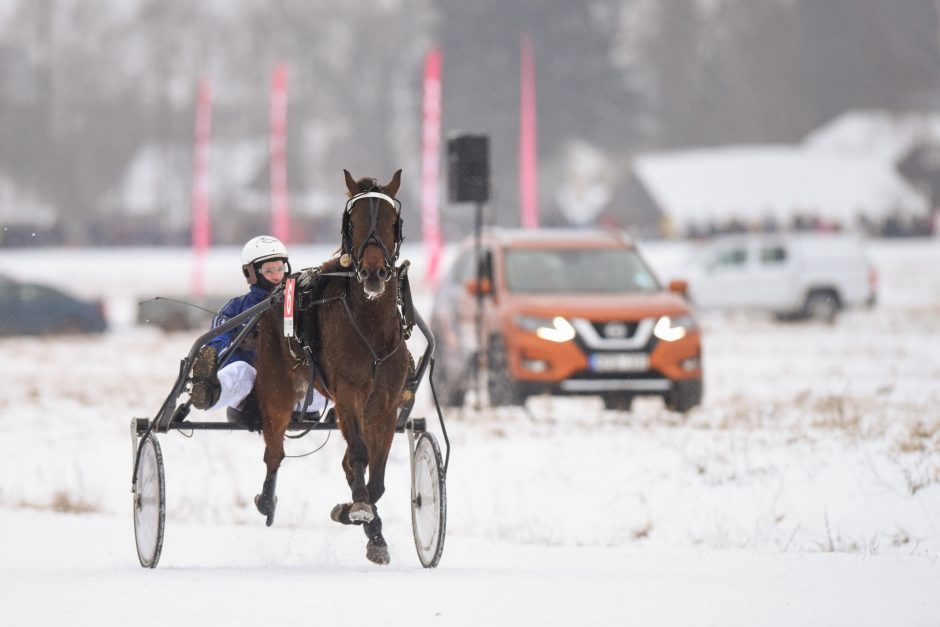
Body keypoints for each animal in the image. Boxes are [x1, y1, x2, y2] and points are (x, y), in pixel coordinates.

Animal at [250, 168, 412, 564]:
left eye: (392, 221)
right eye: (352, 221)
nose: (373, 272)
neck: (371, 326)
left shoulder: (386, 403)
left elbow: (377, 475)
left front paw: (367, 526)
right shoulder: (349, 394)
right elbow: (359, 455)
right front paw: (359, 511)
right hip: (277, 389)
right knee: (274, 452)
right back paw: (267, 500)